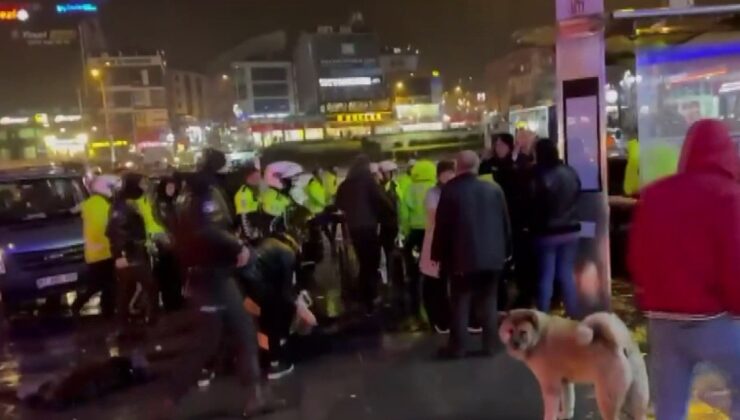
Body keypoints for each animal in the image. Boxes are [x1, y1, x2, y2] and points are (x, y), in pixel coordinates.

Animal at [498, 308, 648, 420]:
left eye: (523, 332)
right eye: (510, 331)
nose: (515, 344)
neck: (538, 337)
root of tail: (619, 343)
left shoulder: (551, 386)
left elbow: (551, 410)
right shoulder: (565, 382)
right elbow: (568, 402)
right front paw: (566, 415)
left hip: (606, 398)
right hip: (637, 398)